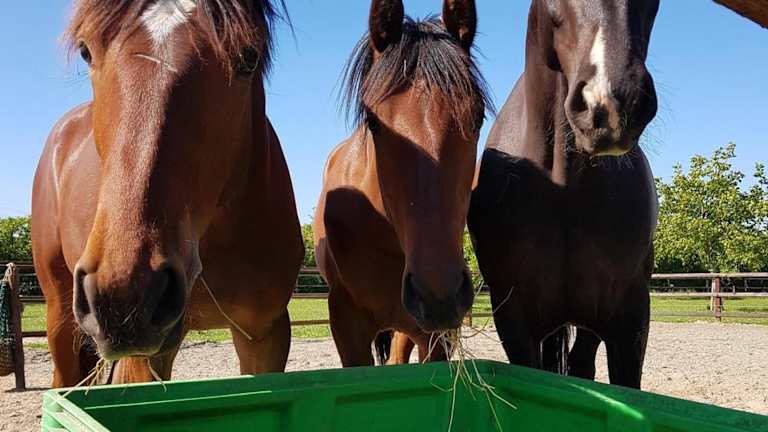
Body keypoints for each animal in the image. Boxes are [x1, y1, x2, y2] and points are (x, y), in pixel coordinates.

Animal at [31, 0, 303, 387]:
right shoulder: (145, 358)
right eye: (85, 51)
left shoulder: (264, 334)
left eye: (248, 57)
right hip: (60, 317)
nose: (127, 294)